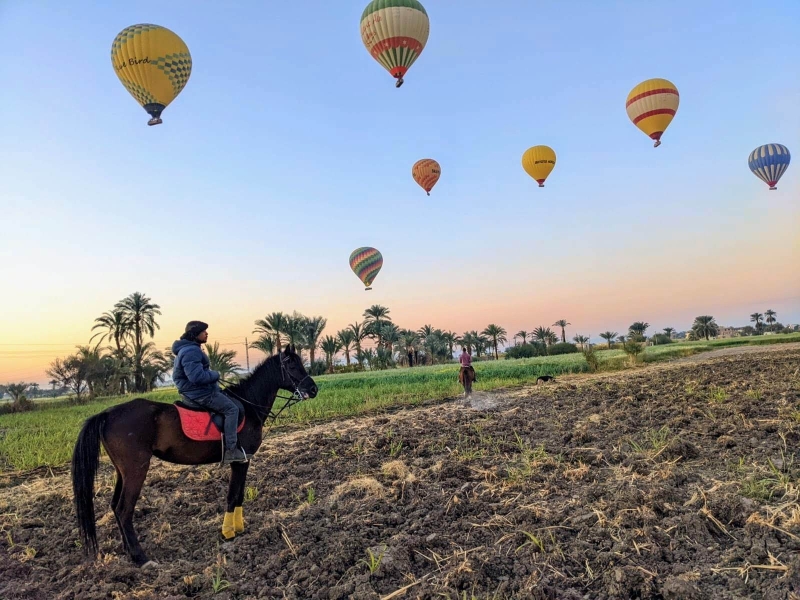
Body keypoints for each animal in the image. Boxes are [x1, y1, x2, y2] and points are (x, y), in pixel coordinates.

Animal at [71, 346, 316, 568]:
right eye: (292, 365)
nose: (313, 389)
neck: (248, 405)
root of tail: (106, 413)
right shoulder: (240, 460)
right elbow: (232, 496)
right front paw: (228, 533)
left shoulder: (244, 461)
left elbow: (239, 496)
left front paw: (239, 528)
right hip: (136, 470)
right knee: (123, 510)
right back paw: (141, 558)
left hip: (122, 471)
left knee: (115, 506)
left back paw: (128, 552)